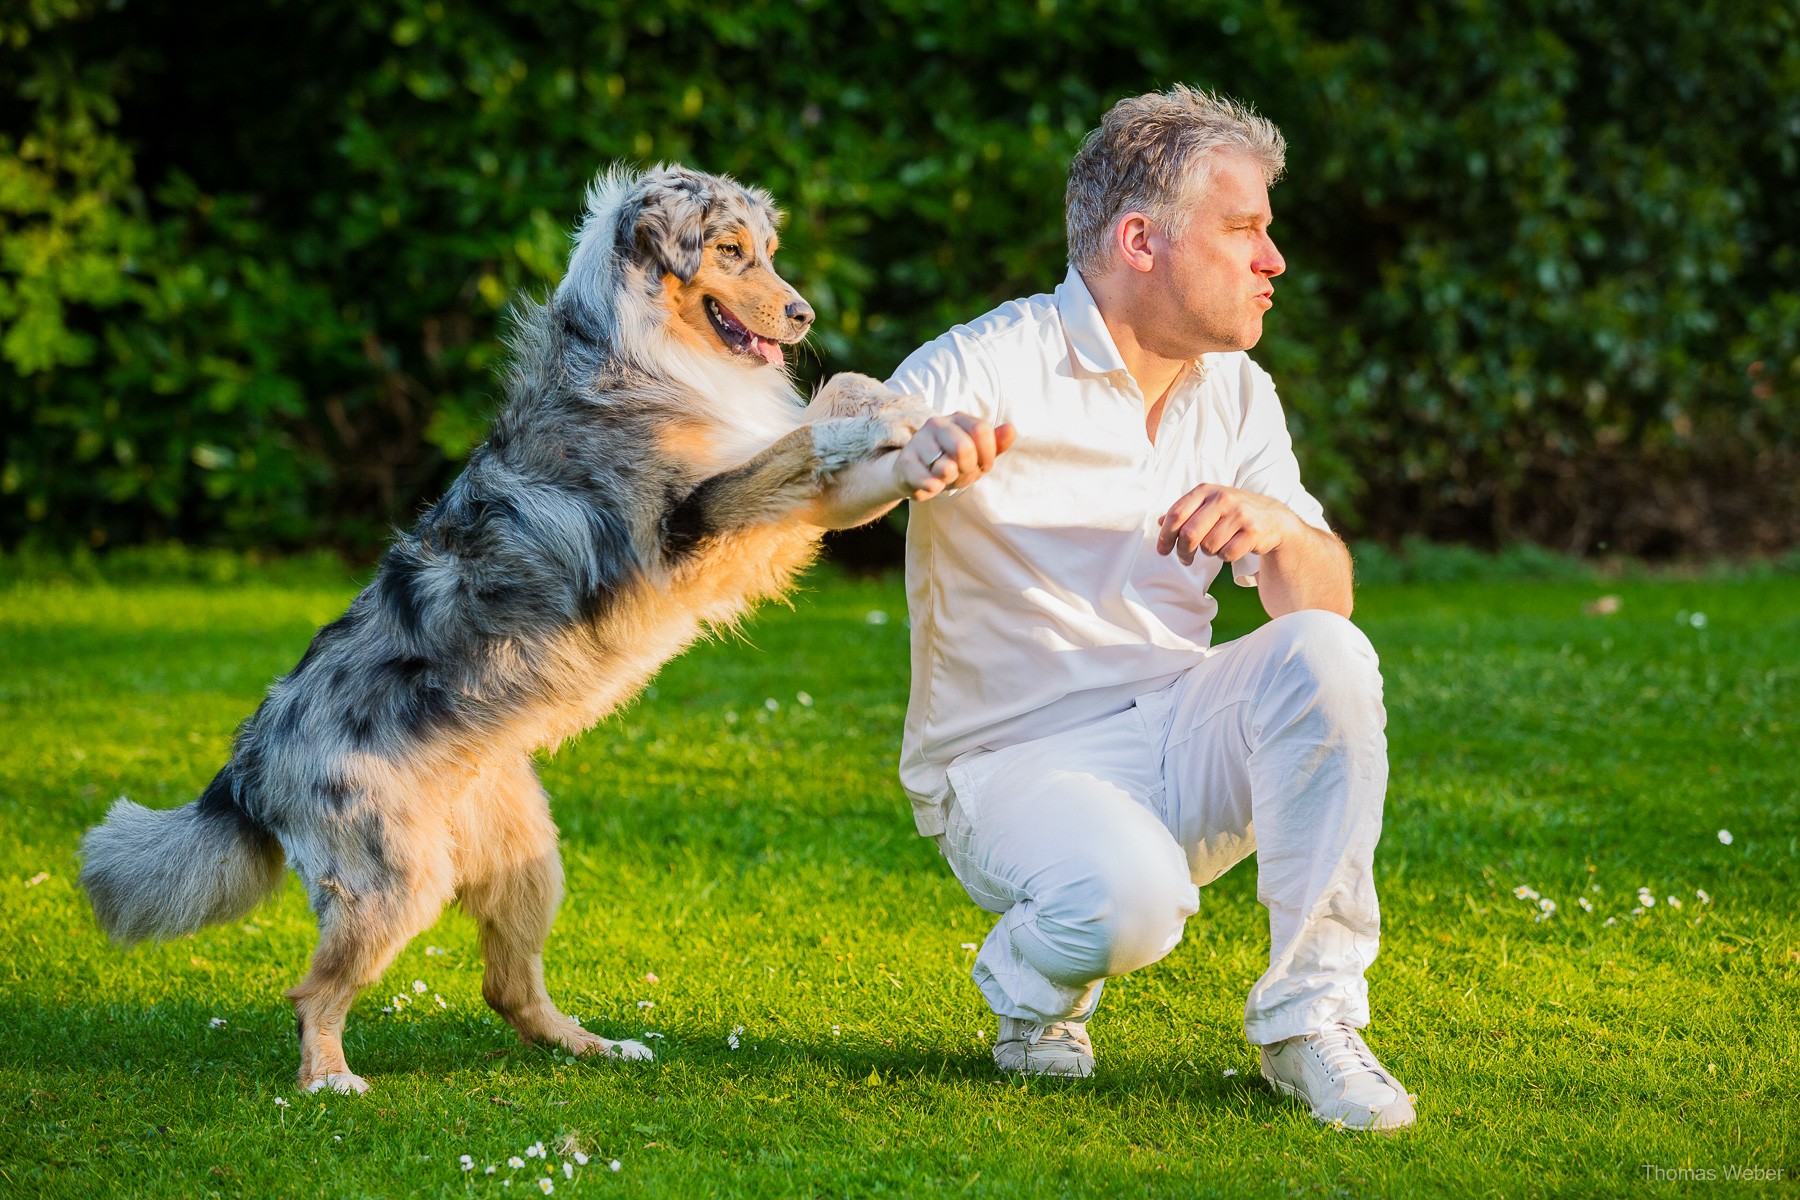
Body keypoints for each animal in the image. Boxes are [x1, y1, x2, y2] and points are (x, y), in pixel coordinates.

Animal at [81, 161, 928, 1101]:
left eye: (769, 251)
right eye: (731, 251)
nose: (805, 314)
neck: (634, 352)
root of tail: (244, 764)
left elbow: (827, 402)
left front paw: (887, 398)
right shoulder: (691, 526)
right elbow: (803, 440)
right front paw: (878, 422)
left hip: (528, 856)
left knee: (508, 988)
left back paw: (598, 1047)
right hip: (394, 882)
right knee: (313, 991)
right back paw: (331, 1079)